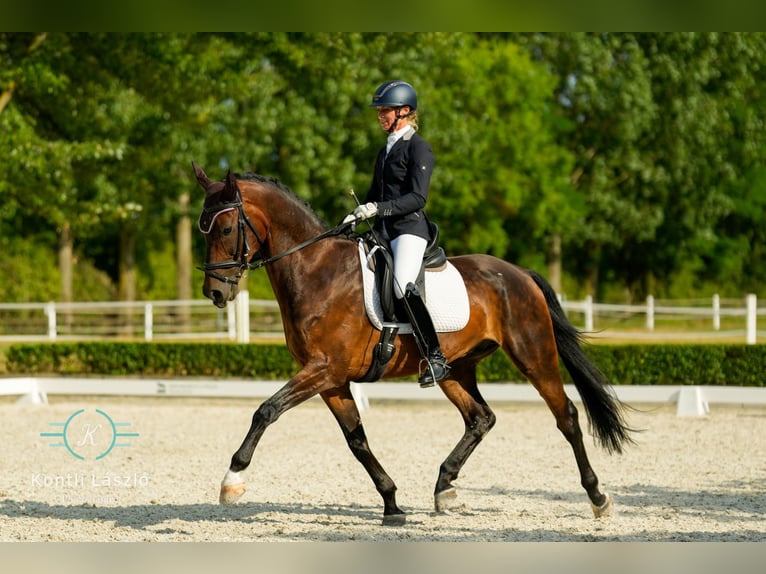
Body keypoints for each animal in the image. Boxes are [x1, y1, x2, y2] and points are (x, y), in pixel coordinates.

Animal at [194, 162, 636, 528]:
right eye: (203, 228)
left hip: (533, 354)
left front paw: (232, 481)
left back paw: (598, 497)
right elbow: (357, 440)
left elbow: (266, 411)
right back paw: (445, 488)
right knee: (480, 418)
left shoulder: (323, 369)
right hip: (455, 368)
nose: (215, 292)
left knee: (566, 416)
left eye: (227, 229)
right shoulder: (332, 380)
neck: (317, 270)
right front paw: (391, 504)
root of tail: (519, 274)